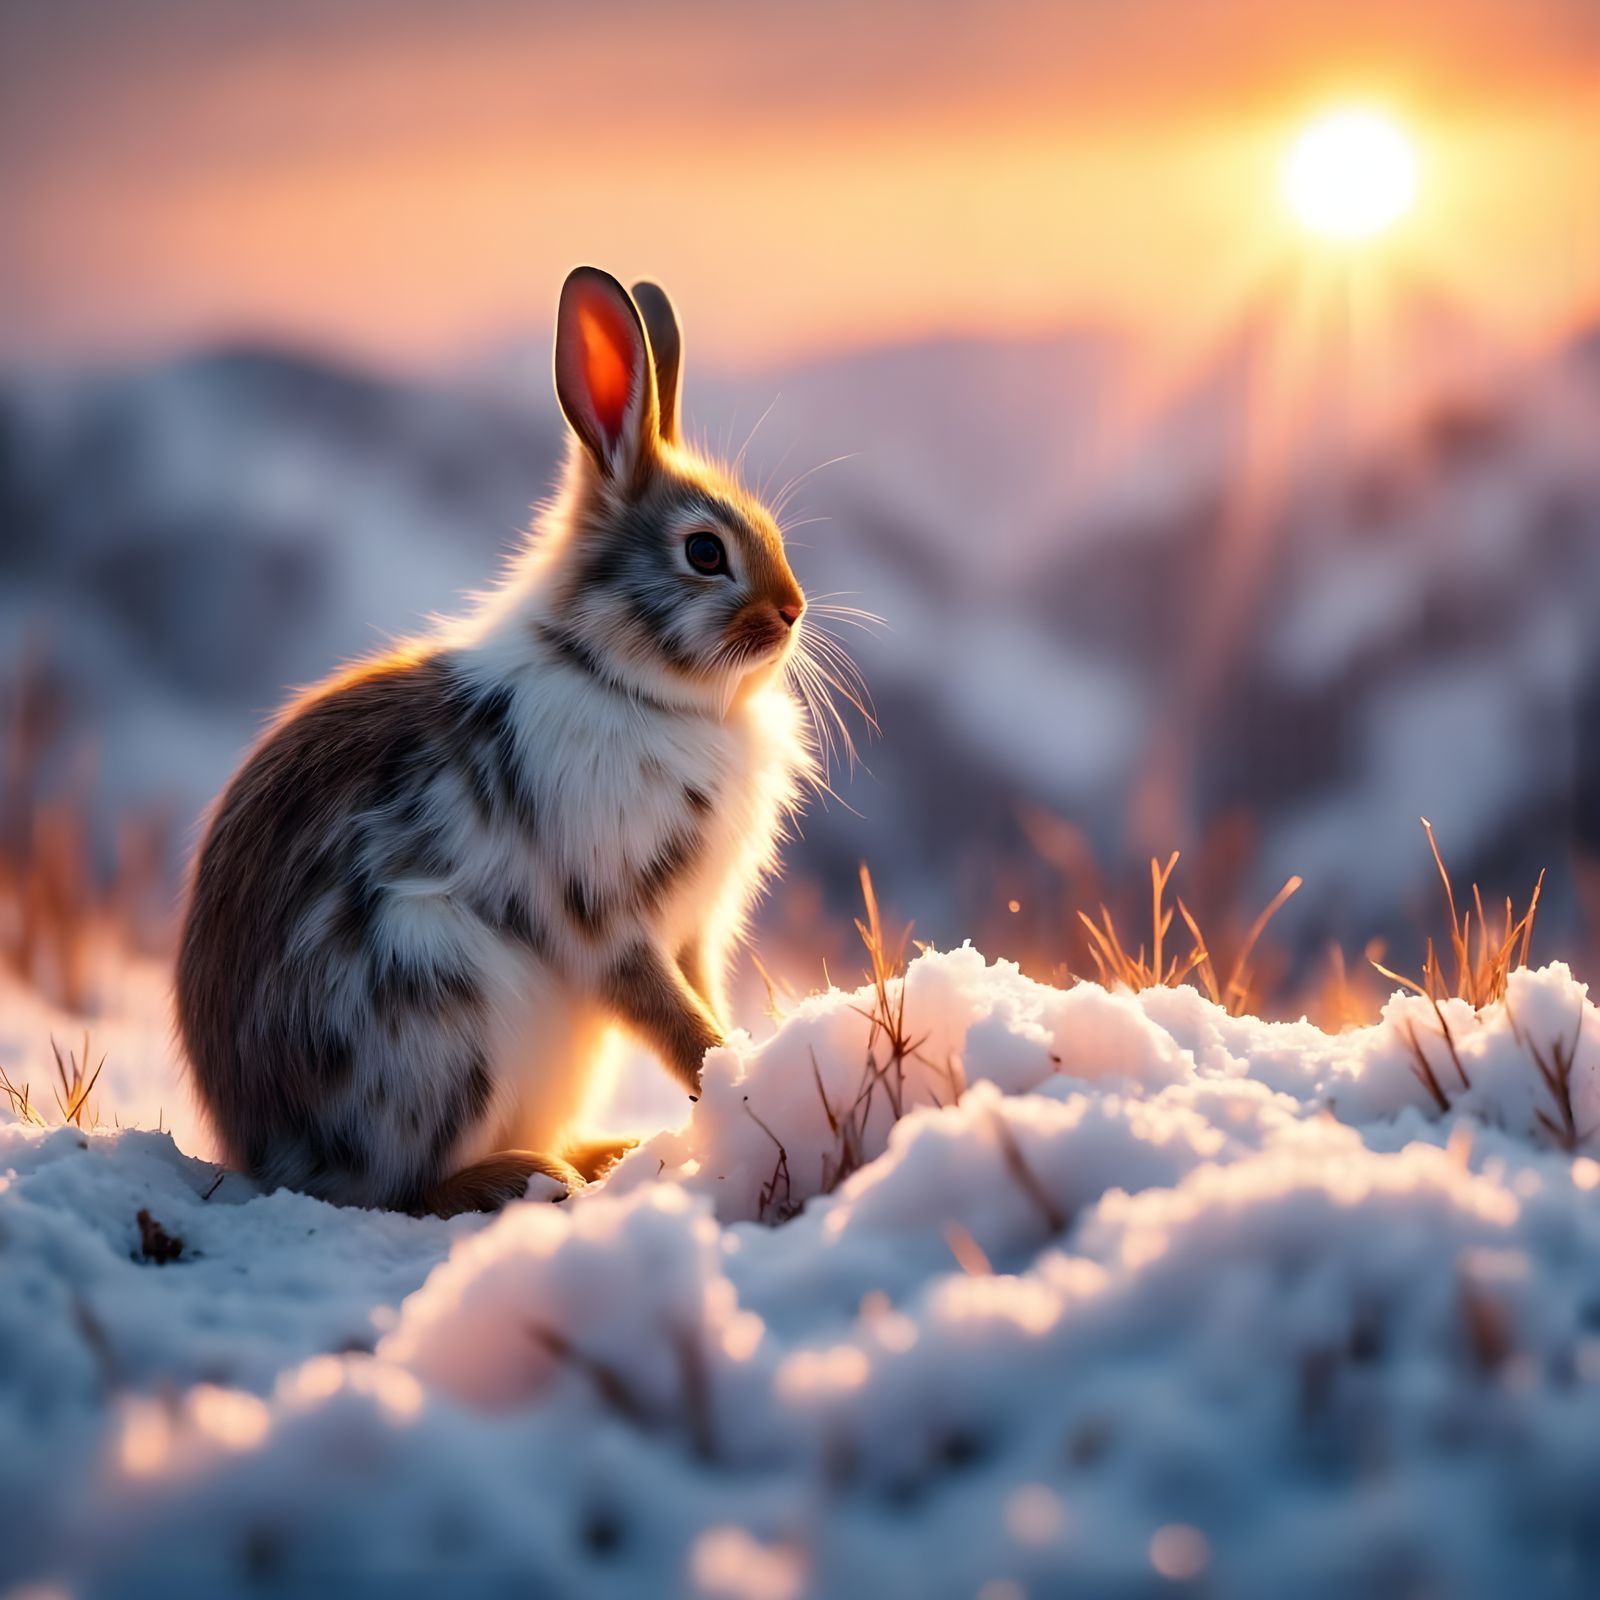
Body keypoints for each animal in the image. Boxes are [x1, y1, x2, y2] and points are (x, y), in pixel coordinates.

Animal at [176, 266, 822, 1217]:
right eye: (706, 552)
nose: (792, 611)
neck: (614, 676)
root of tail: (268, 1151)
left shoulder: (693, 934)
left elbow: (701, 1002)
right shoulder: (608, 918)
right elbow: (676, 1027)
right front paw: (740, 1086)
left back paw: (600, 1153)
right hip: (440, 1004)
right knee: (395, 1192)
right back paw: (526, 1177)